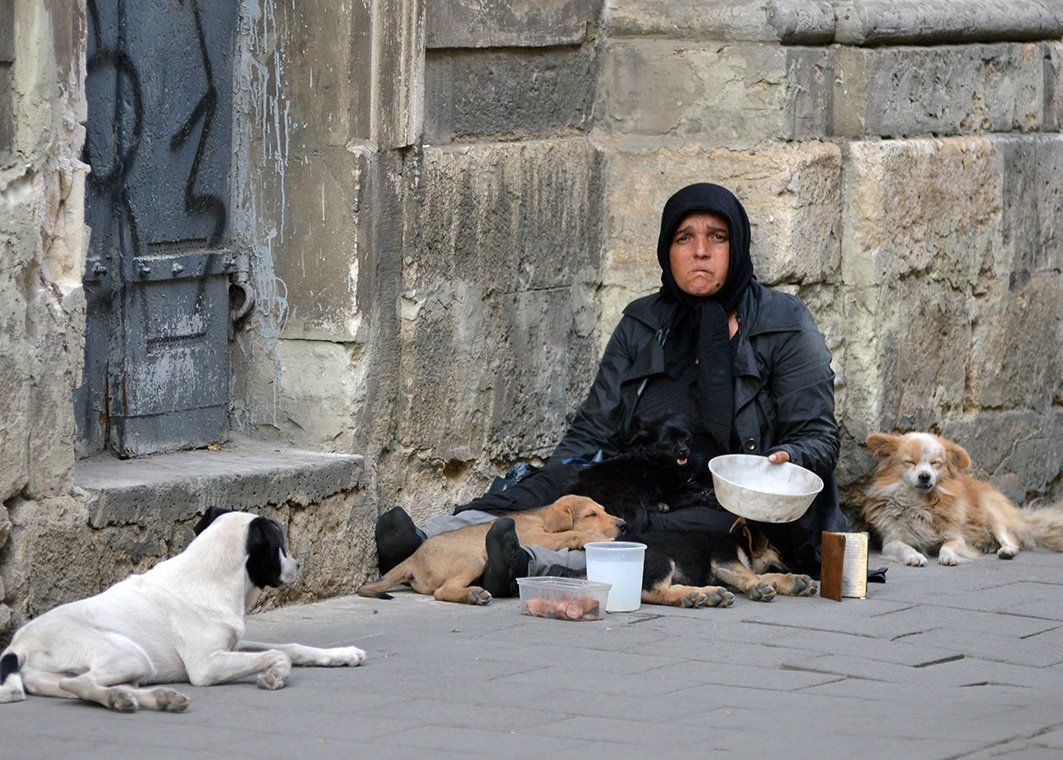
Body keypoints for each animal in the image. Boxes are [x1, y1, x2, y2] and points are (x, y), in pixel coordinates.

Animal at [0, 512, 365, 714]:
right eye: (280, 547)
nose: (299, 566)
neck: (211, 577)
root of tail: (18, 646)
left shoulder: (232, 645)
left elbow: (292, 648)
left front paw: (344, 654)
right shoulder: (207, 667)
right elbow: (279, 655)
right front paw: (275, 674)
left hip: (130, 667)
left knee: (87, 686)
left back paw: (157, 698)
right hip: (128, 656)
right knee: (78, 684)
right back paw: (123, 699)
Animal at [565, 412, 714, 531]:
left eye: (686, 437)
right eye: (667, 439)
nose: (684, 450)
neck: (660, 461)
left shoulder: (682, 484)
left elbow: (696, 487)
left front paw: (709, 491)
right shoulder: (670, 495)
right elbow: (695, 495)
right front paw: (712, 500)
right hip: (634, 506)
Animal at [858, 431, 1063, 569]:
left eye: (935, 463)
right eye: (910, 462)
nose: (925, 476)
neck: (920, 502)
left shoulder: (956, 537)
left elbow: (948, 547)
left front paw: (948, 557)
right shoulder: (891, 541)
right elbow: (904, 547)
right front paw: (914, 556)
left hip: (992, 512)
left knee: (1011, 539)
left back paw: (1006, 551)